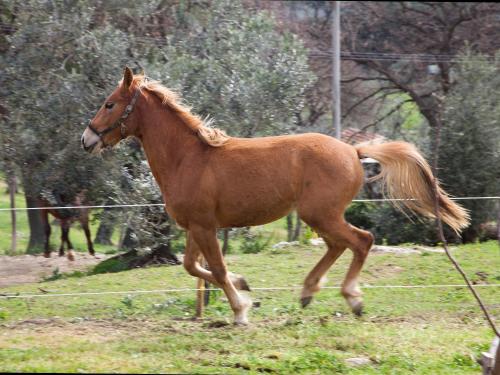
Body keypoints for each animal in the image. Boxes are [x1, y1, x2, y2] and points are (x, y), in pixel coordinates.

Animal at [81, 68, 468, 326]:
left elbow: (216, 268)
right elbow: (194, 266)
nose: (87, 140)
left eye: (110, 104)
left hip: (321, 214)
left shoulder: (205, 227)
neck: (189, 158)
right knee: (339, 246)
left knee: (361, 240)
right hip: (321, 217)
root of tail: (353, 150)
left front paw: (240, 311)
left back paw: (352, 299)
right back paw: (308, 293)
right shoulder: (195, 227)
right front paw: (244, 286)